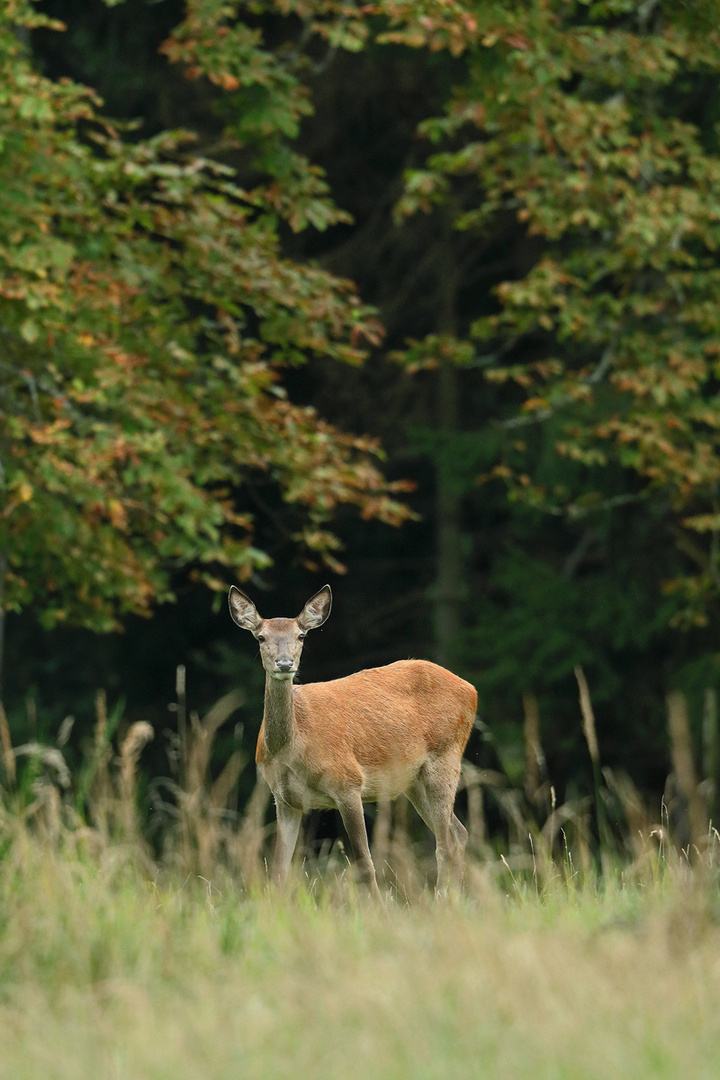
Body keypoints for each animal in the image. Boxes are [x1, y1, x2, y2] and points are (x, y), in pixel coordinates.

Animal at [231, 587, 479, 898]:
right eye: (261, 637)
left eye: (301, 635)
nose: (285, 663)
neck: (292, 750)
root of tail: (471, 689)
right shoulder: (285, 798)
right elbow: (278, 870)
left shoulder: (348, 782)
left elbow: (364, 863)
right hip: (414, 779)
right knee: (458, 833)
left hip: (446, 757)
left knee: (445, 843)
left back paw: (443, 900)